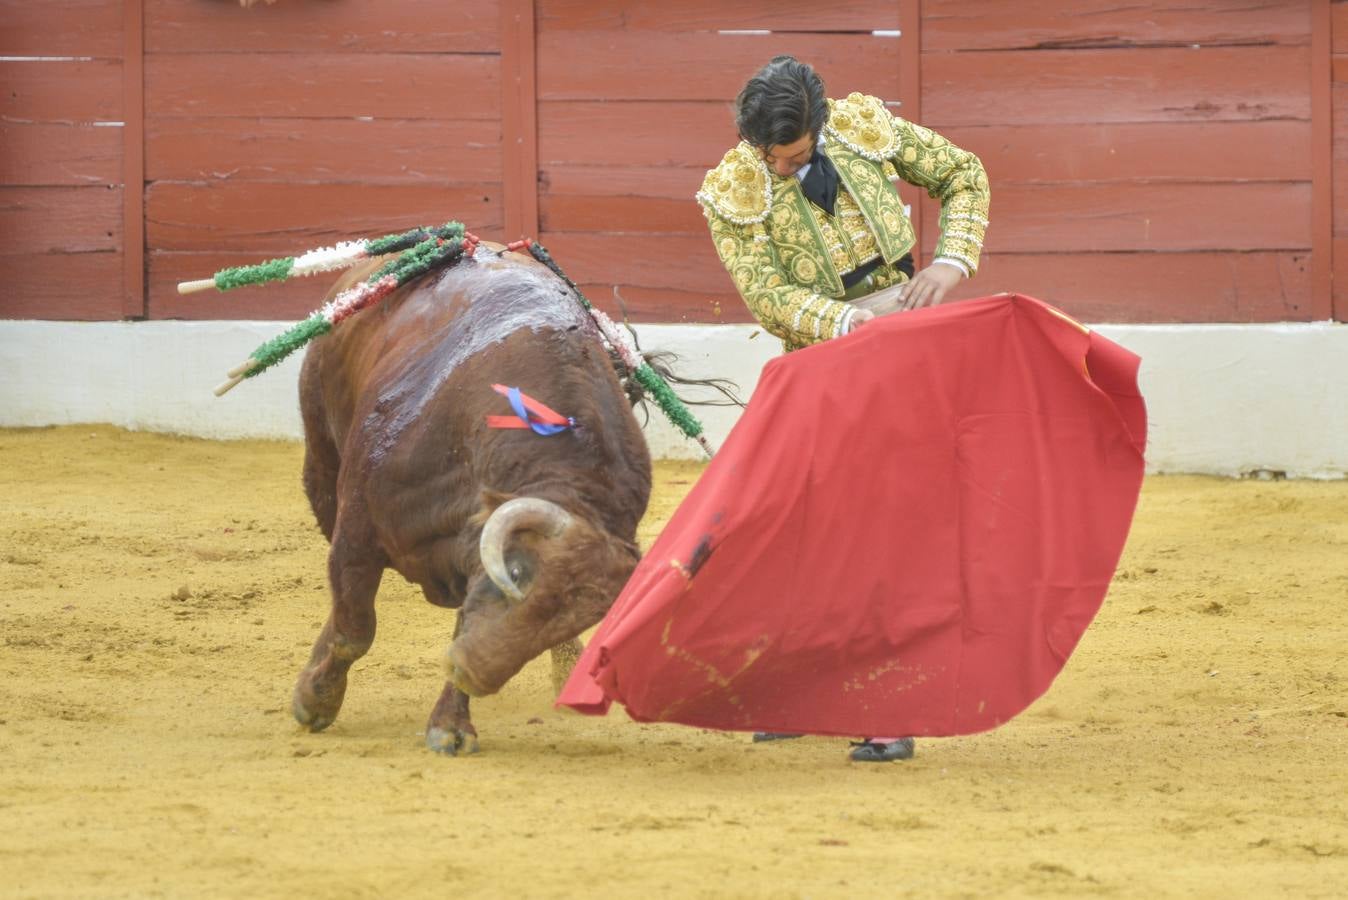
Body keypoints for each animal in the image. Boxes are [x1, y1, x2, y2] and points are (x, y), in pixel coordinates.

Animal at [292, 238, 655, 754]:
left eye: (583, 619)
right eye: (517, 572)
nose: (472, 673)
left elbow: (465, 622)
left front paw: (451, 725)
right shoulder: (358, 530)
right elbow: (354, 628)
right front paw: (315, 700)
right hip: (321, 461)